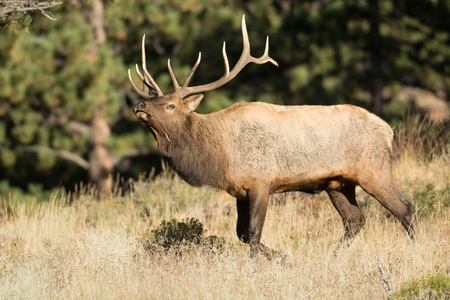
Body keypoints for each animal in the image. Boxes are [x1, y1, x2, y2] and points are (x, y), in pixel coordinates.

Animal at [126, 14, 414, 258]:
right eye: (154, 99)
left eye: (170, 105)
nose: (139, 106)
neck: (219, 156)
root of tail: (387, 130)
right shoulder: (240, 190)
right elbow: (242, 234)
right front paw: (283, 256)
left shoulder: (261, 182)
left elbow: (253, 233)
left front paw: (261, 265)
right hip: (338, 183)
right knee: (355, 219)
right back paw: (332, 256)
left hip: (373, 170)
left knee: (405, 210)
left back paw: (415, 249)